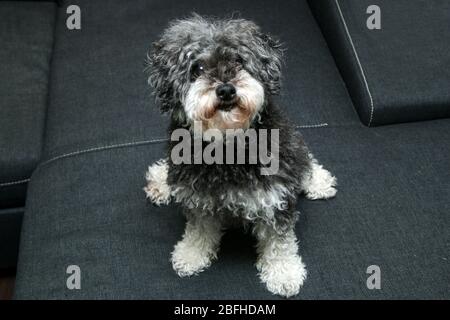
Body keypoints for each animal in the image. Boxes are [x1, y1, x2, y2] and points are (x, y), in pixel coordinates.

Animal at [142, 13, 336, 296]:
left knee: (304, 161)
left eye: (238, 61)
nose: (225, 90)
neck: (227, 147)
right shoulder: (197, 200)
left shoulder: (275, 198)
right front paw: (191, 255)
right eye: (197, 69)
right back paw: (159, 181)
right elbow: (198, 231)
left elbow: (279, 242)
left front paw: (284, 273)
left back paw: (319, 181)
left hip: (291, 145)